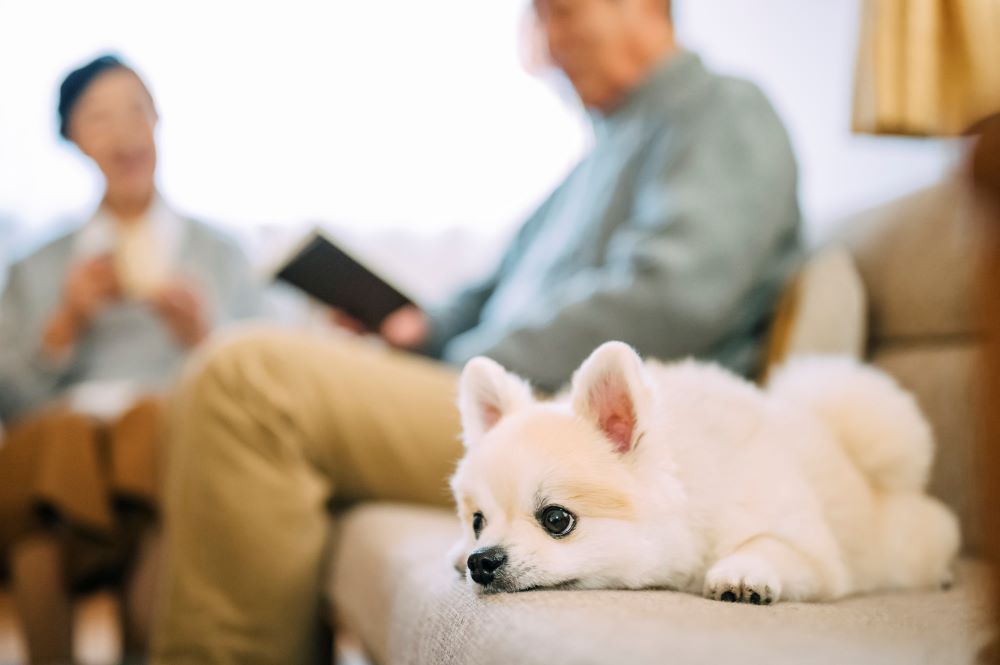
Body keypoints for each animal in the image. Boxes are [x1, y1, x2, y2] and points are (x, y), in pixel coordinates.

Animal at [448, 340, 960, 604]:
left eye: (557, 520)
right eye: (477, 522)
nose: (481, 560)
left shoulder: (812, 552)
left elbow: (771, 544)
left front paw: (742, 573)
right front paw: (457, 552)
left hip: (906, 546)